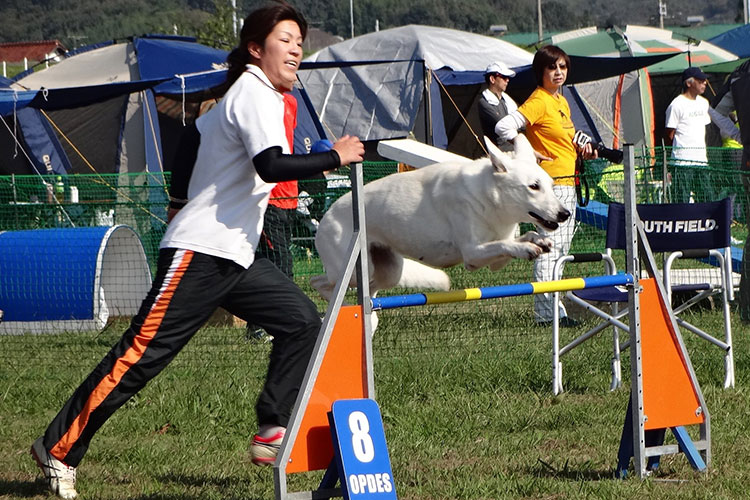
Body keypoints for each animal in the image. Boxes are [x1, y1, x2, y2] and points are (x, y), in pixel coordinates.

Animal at [310, 135, 568, 300]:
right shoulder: (472, 254)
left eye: (550, 184)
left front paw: (538, 241)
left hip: (389, 271)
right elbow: (504, 244)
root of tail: (326, 216)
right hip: (352, 273)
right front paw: (527, 248)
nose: (565, 214)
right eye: (533, 186)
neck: (488, 196)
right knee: (319, 282)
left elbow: (520, 238)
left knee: (370, 291)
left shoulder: (495, 260)